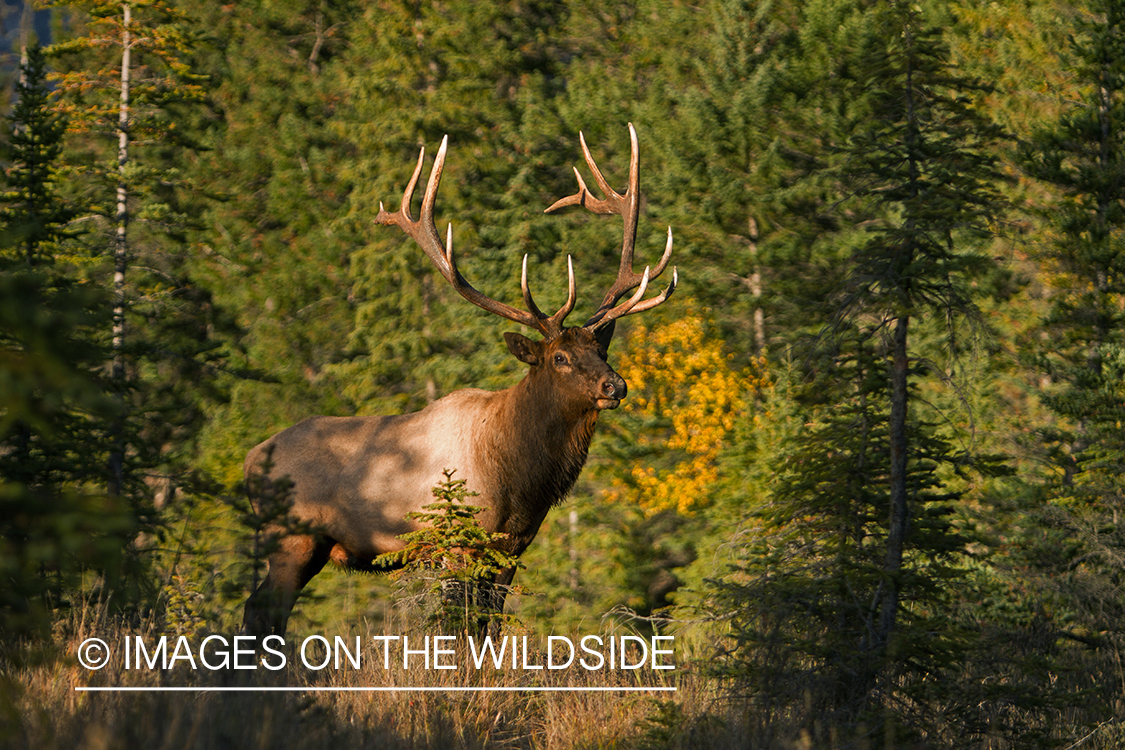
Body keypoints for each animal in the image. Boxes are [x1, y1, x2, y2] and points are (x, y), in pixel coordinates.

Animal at [240, 124, 670, 638]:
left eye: (601, 350)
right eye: (560, 357)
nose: (615, 386)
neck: (520, 476)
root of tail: (248, 462)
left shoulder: (511, 546)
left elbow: (490, 624)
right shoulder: (458, 539)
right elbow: (459, 625)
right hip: (292, 539)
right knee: (263, 611)